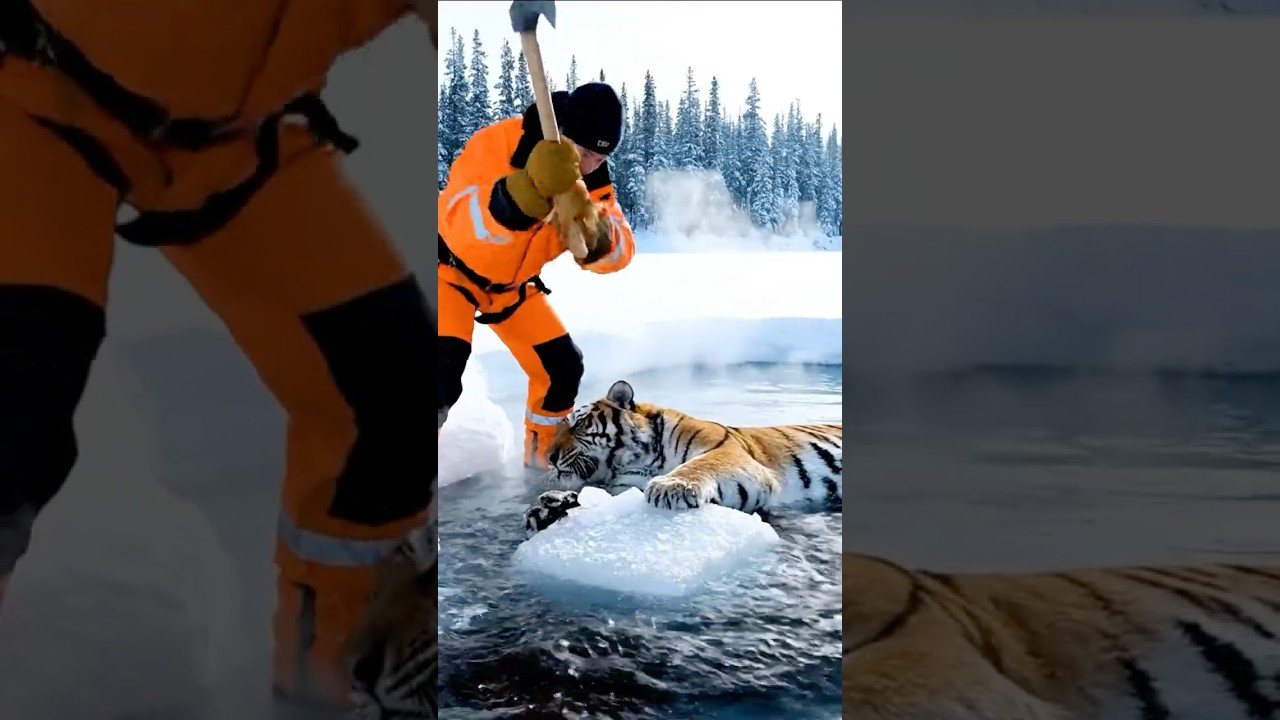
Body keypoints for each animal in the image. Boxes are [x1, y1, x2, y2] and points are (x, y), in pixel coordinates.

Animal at [524, 378, 842, 535]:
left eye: (578, 423)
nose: (550, 458)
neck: (637, 460)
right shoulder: (626, 487)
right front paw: (550, 510)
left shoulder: (727, 450)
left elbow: (702, 464)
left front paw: (670, 487)